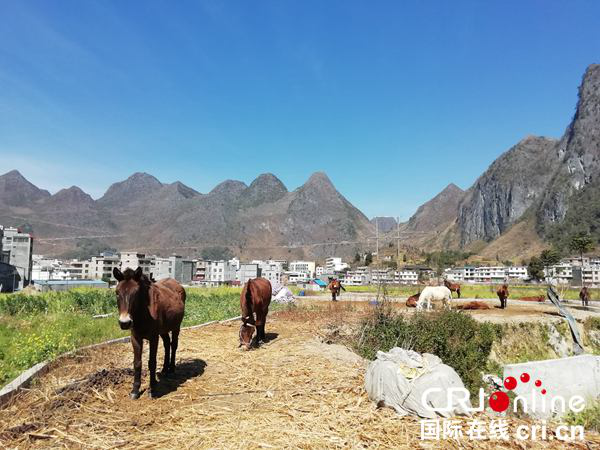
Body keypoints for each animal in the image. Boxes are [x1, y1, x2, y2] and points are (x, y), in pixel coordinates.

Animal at [112, 268, 185, 398]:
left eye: (136, 294)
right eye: (117, 292)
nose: (125, 323)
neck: (143, 313)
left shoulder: (153, 337)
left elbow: (152, 362)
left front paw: (153, 389)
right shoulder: (135, 337)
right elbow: (137, 363)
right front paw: (135, 390)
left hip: (176, 327)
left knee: (174, 345)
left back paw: (171, 369)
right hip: (163, 330)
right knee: (167, 344)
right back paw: (165, 369)